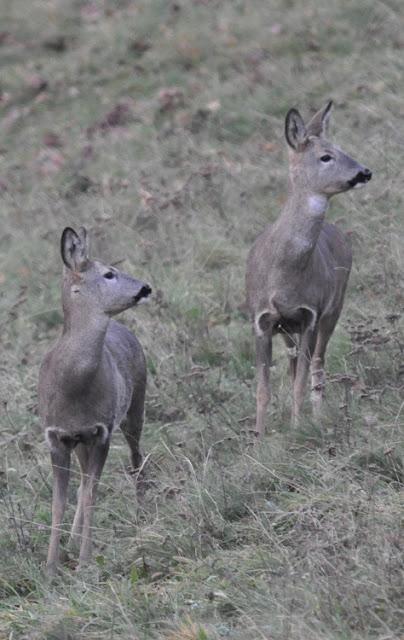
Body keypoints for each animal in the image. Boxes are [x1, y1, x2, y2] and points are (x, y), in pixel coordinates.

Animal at [39, 228, 152, 572]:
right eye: (109, 273)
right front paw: (51, 566)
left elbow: (91, 494)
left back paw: (141, 516)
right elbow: (59, 501)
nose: (146, 288)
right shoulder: (57, 436)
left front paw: (85, 561)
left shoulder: (101, 431)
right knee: (83, 482)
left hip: (135, 407)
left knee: (136, 461)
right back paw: (72, 541)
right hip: (81, 443)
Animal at [245, 102, 370, 438]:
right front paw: (258, 438)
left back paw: (316, 416)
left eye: (342, 148)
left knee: (317, 363)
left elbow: (300, 381)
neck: (283, 274)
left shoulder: (310, 315)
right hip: (288, 331)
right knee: (293, 364)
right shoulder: (261, 320)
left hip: (333, 309)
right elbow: (262, 388)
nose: (364, 171)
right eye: (326, 156)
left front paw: (298, 428)